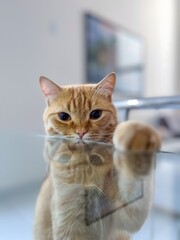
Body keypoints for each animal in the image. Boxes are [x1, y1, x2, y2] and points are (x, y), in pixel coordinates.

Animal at [34, 72, 160, 239]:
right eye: (63, 116)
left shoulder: (125, 215)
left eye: (95, 114)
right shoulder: (69, 225)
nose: (81, 133)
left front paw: (136, 136)